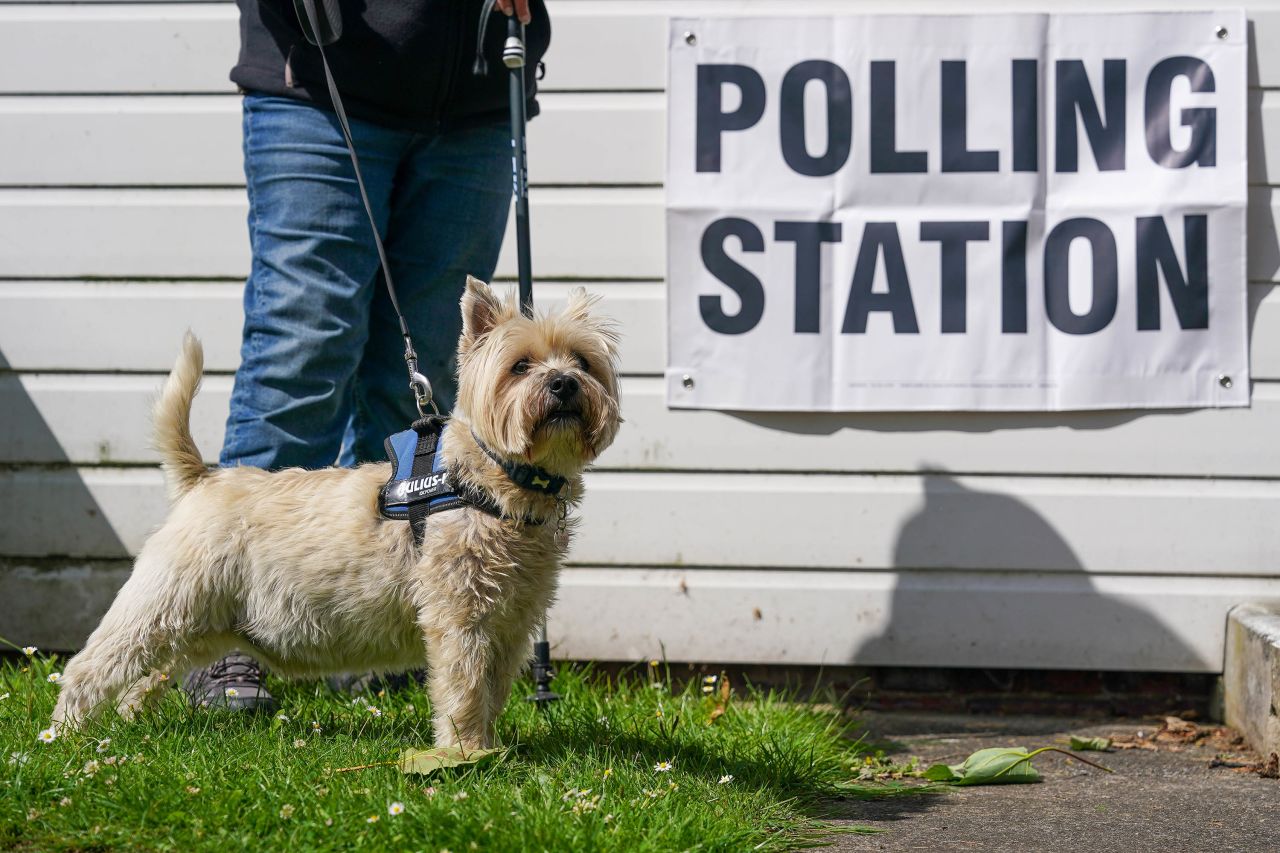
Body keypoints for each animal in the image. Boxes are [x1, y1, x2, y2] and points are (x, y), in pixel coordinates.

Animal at [52, 277, 622, 742]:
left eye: (583, 362)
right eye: (520, 365)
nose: (563, 383)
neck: (497, 481)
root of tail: (201, 480)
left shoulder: (511, 622)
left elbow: (493, 690)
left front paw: (491, 748)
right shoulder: (458, 616)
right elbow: (463, 691)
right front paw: (465, 754)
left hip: (204, 624)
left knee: (149, 675)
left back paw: (133, 724)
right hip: (161, 604)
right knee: (90, 667)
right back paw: (65, 737)